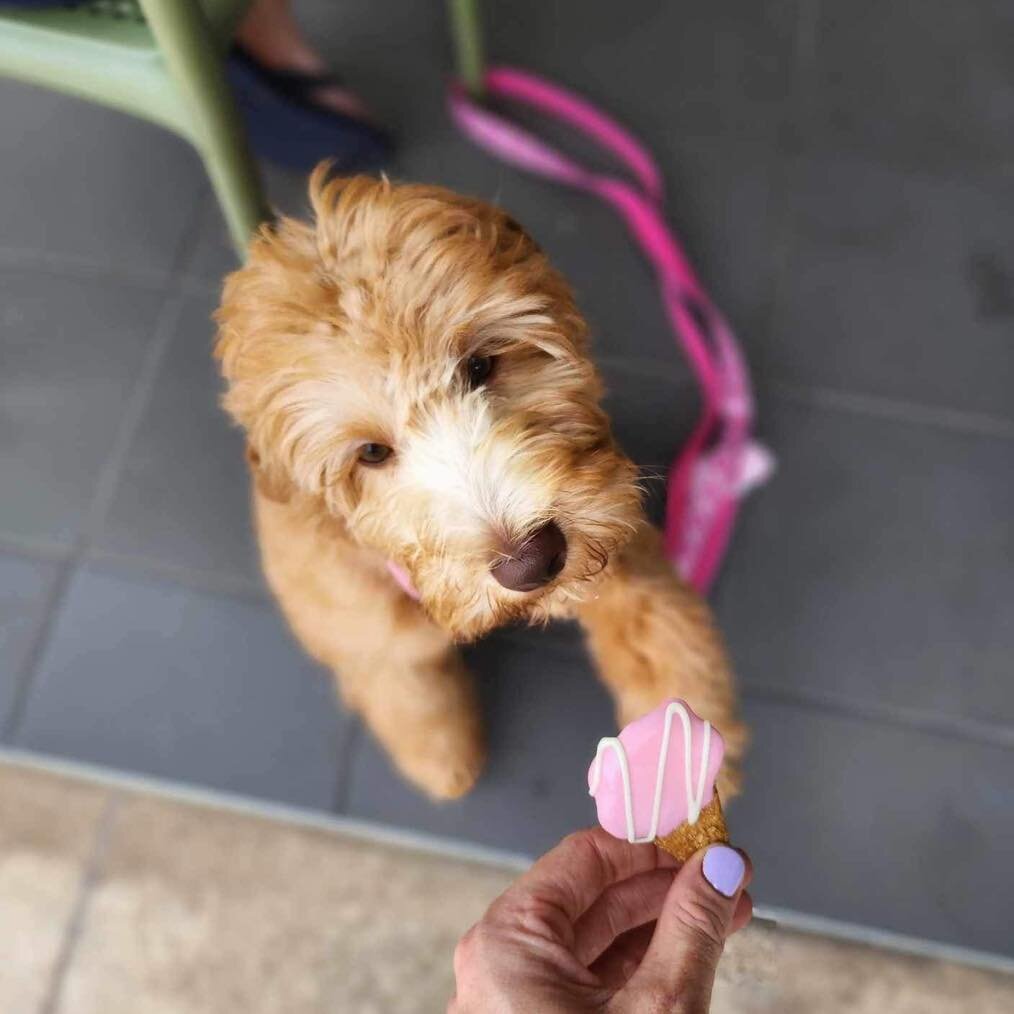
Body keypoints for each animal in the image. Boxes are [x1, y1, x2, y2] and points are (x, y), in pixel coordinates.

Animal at [213, 168, 746, 799]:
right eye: (371, 453)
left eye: (479, 366)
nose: (532, 561)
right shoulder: (360, 618)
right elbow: (406, 686)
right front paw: (443, 762)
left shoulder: (623, 549)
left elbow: (664, 641)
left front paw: (678, 763)